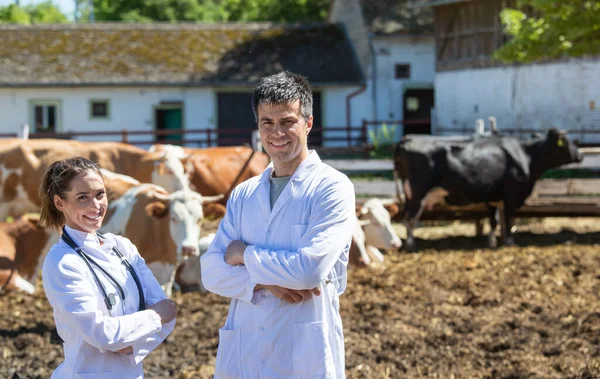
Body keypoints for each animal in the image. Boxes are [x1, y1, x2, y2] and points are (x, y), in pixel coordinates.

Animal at [392, 130, 584, 252]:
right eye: (566, 143)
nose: (581, 155)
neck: (526, 154)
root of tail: (407, 138)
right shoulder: (512, 194)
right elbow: (509, 219)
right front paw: (509, 242)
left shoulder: (493, 195)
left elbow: (494, 221)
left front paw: (491, 242)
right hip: (418, 193)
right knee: (410, 218)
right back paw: (410, 246)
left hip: (410, 194)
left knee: (408, 218)